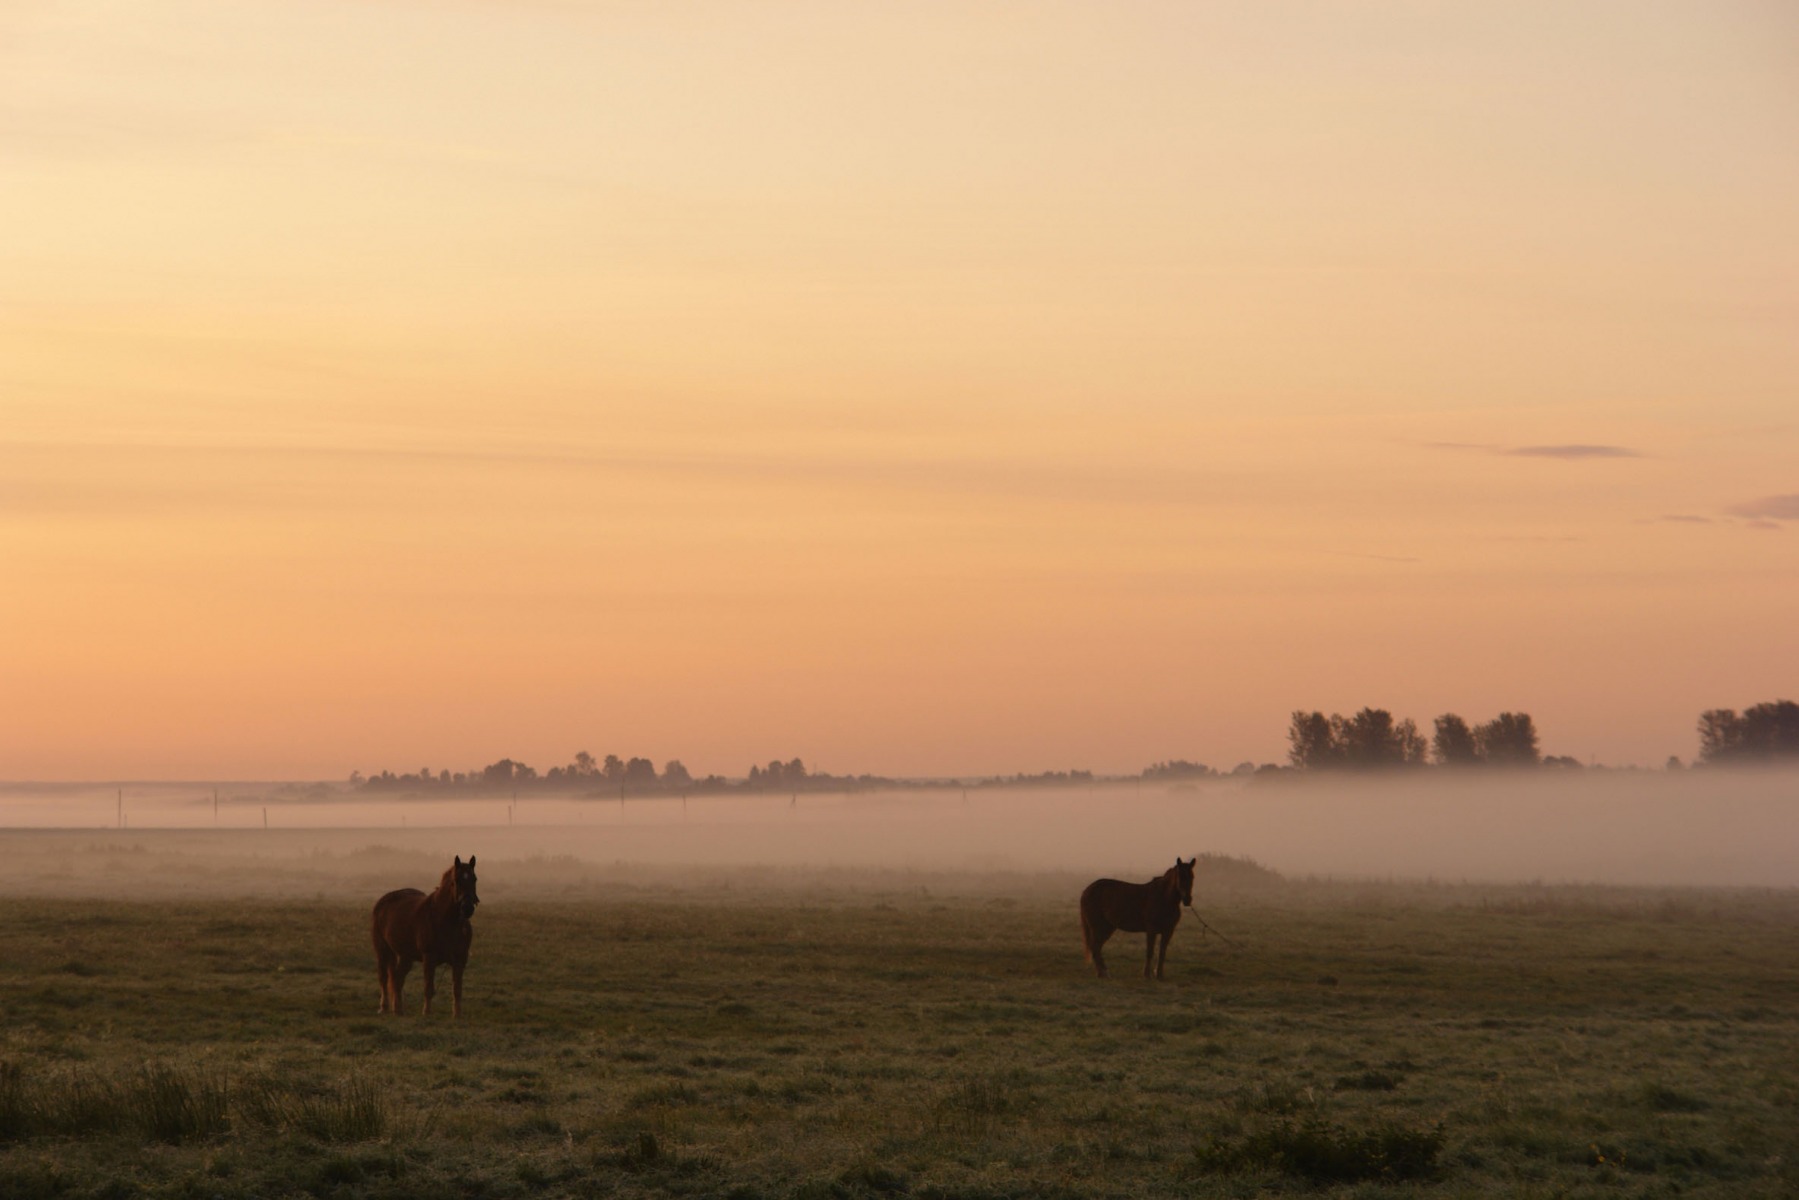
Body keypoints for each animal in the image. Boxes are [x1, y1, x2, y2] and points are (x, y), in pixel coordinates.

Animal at [372, 852, 478, 1014]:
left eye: (474, 879)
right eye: (456, 880)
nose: (467, 908)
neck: (445, 920)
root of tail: (382, 902)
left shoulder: (460, 960)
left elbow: (457, 990)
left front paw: (457, 1014)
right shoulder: (429, 958)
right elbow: (428, 988)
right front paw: (426, 1012)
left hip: (406, 956)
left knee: (397, 978)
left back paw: (398, 1009)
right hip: (383, 950)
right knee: (384, 978)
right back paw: (383, 1007)